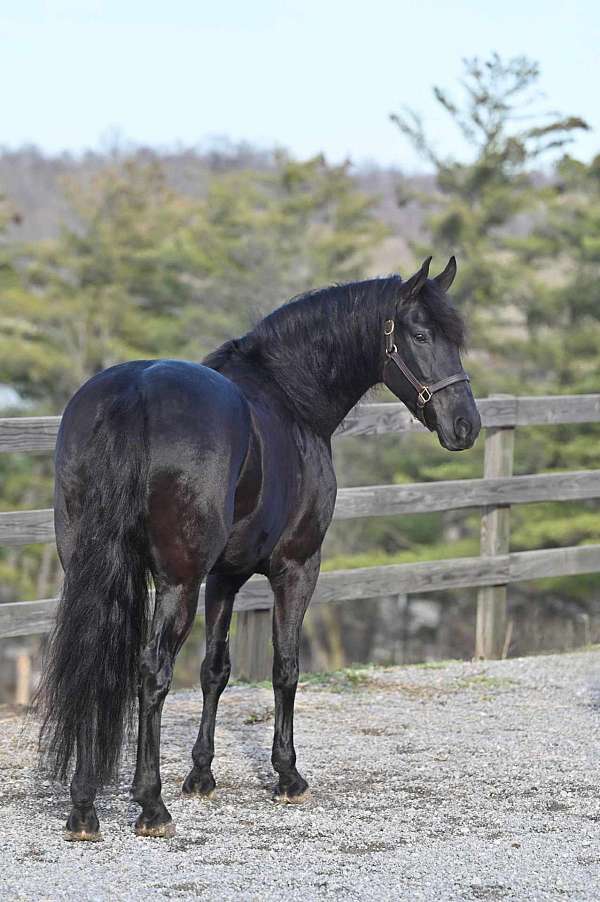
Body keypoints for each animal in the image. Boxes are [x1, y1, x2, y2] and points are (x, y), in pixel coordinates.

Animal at [36, 252, 478, 840]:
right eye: (423, 334)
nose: (466, 425)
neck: (289, 399)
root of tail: (134, 393)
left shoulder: (225, 576)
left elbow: (215, 669)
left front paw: (201, 775)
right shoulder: (296, 566)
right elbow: (284, 666)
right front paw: (288, 776)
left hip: (95, 570)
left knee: (99, 665)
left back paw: (84, 808)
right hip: (177, 581)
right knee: (152, 671)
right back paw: (151, 806)